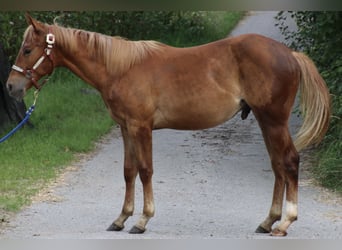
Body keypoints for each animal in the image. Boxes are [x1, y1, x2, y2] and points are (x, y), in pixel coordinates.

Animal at [6, 13, 332, 236]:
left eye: (27, 49)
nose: (11, 86)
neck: (120, 68)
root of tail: (290, 53)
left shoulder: (141, 127)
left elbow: (145, 171)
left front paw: (142, 220)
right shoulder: (125, 128)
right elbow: (129, 171)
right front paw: (121, 218)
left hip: (274, 121)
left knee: (289, 162)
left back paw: (285, 222)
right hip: (266, 122)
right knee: (277, 166)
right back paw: (268, 221)